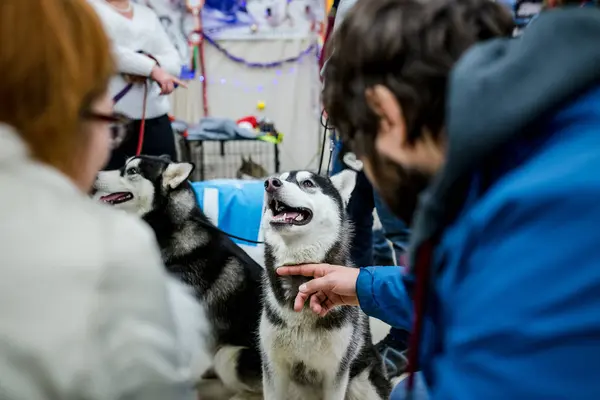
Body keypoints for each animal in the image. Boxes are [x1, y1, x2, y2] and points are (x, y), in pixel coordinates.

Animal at [258, 170, 392, 400]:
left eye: (307, 183)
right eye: (279, 177)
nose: (270, 183)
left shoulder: (336, 373)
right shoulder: (273, 370)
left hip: (362, 382)